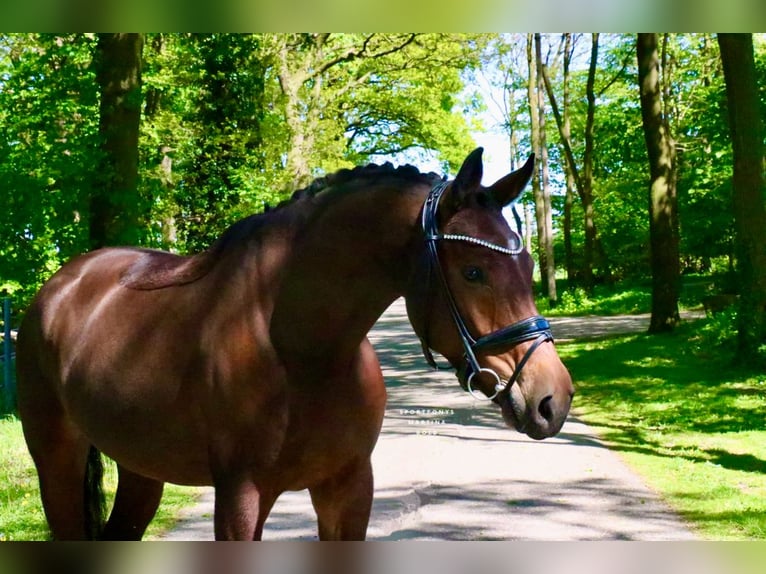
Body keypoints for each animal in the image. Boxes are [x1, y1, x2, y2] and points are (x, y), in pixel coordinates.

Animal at [16, 147, 573, 540]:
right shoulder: (241, 498)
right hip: (56, 460)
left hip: (140, 470)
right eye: (474, 271)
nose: (552, 399)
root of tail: (59, 286)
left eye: (528, 265)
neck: (304, 355)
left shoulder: (348, 488)